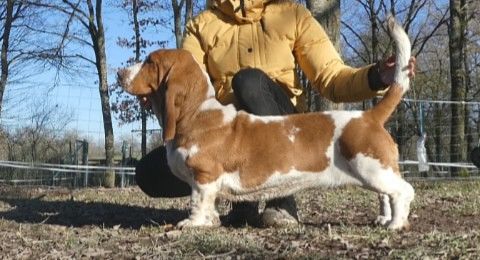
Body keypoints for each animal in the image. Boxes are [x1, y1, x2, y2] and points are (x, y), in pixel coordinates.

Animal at [118, 16, 414, 230]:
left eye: (150, 62)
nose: (120, 72)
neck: (197, 112)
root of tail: (369, 116)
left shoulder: (204, 177)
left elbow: (198, 202)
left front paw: (193, 224)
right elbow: (208, 204)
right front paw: (211, 222)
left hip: (370, 167)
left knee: (403, 191)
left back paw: (396, 225)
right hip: (373, 173)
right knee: (385, 195)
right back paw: (385, 219)